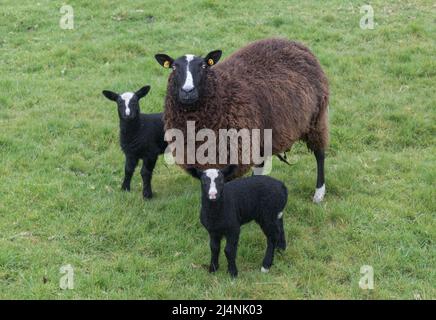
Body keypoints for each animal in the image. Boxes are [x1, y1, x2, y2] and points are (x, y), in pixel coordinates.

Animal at [155, 37, 328, 202]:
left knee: (320, 154)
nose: (187, 91)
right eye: (174, 67)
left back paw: (319, 194)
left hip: (316, 119)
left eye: (204, 66)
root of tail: (296, 44)